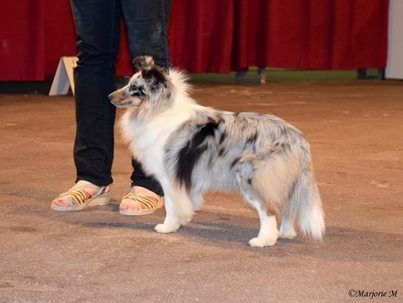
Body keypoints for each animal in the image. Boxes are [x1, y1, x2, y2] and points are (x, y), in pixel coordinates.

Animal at [108, 55, 326, 248]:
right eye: (128, 83)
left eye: (135, 89)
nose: (109, 97)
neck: (158, 110)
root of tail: (297, 138)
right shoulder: (189, 176)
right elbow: (187, 200)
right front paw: (183, 220)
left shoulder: (169, 175)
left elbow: (171, 204)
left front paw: (167, 227)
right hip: (286, 182)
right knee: (289, 207)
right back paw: (285, 233)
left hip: (254, 178)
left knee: (269, 210)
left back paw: (264, 240)